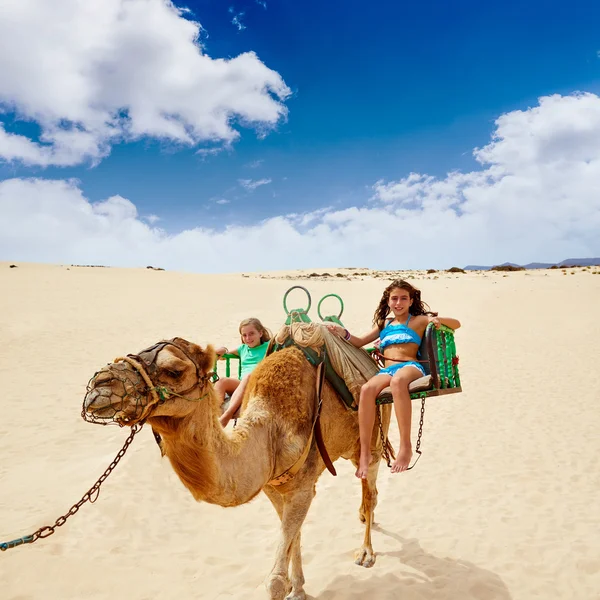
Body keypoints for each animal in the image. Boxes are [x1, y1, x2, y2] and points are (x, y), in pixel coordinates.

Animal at [84, 338, 394, 600]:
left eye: (174, 370)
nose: (100, 383)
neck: (270, 431)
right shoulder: (273, 486)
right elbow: (294, 536)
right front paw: (298, 588)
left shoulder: (303, 487)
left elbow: (275, 580)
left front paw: (289, 585)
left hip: (374, 434)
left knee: (370, 484)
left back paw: (366, 552)